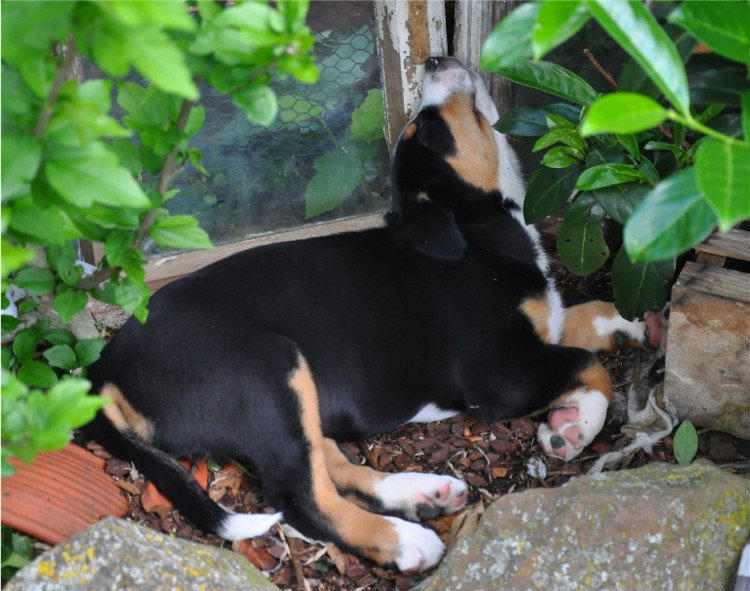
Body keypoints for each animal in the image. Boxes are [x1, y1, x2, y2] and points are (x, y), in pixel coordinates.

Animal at [85, 57, 661, 572]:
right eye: (424, 131)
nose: (434, 59)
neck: (477, 227)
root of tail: (104, 368)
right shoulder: (499, 375)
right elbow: (587, 366)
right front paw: (574, 427)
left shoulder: (541, 327)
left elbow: (587, 315)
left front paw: (640, 322)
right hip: (268, 368)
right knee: (300, 498)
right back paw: (405, 541)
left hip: (295, 397)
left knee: (330, 464)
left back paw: (422, 493)